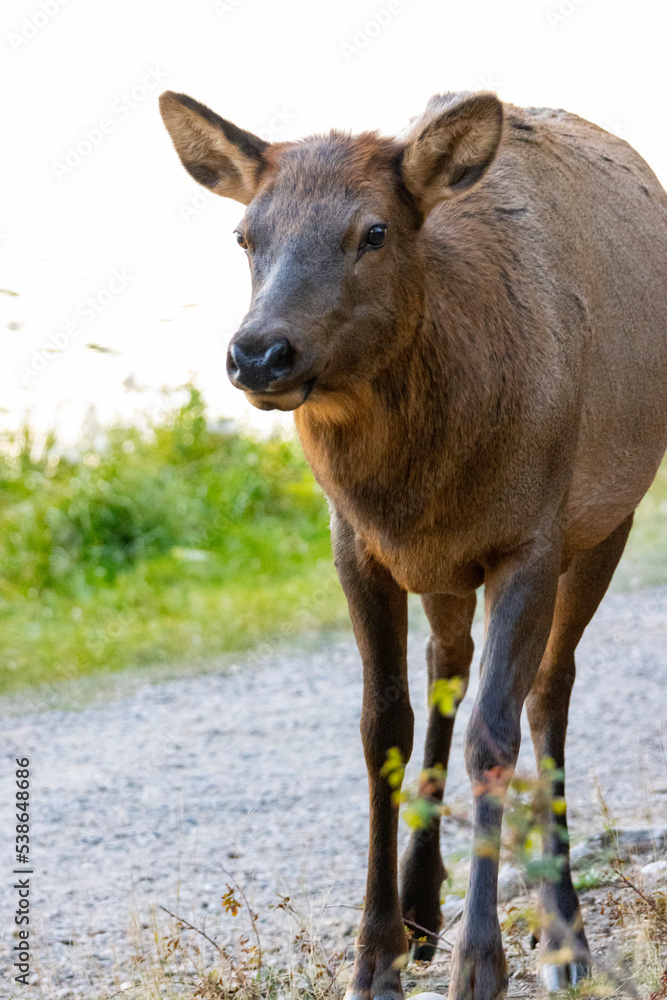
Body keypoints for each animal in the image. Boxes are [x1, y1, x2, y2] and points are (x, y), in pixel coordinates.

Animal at [159, 88, 667, 999]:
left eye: (373, 231)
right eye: (246, 233)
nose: (259, 353)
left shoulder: (530, 538)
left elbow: (493, 735)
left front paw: (483, 965)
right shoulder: (357, 545)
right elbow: (381, 729)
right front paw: (376, 957)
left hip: (608, 517)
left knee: (548, 693)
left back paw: (561, 934)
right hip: (445, 572)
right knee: (446, 667)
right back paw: (422, 905)